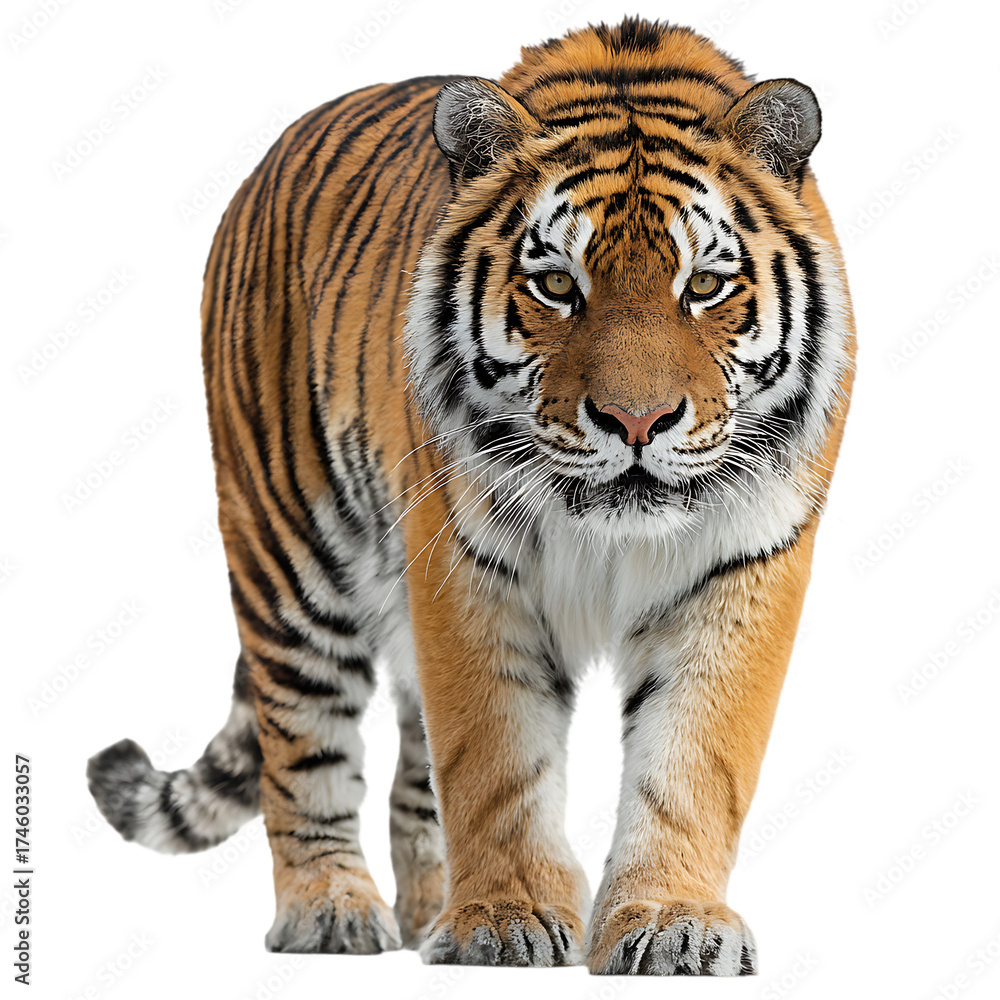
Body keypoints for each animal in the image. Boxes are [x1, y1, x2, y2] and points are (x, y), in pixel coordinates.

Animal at [87, 15, 855, 975]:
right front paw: (505, 919)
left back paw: (424, 913)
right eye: (557, 286)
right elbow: (494, 758)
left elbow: (692, 763)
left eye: (705, 286)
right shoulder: (462, 563)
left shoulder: (744, 565)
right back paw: (330, 911)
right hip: (288, 555)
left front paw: (672, 922)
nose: (636, 422)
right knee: (303, 743)